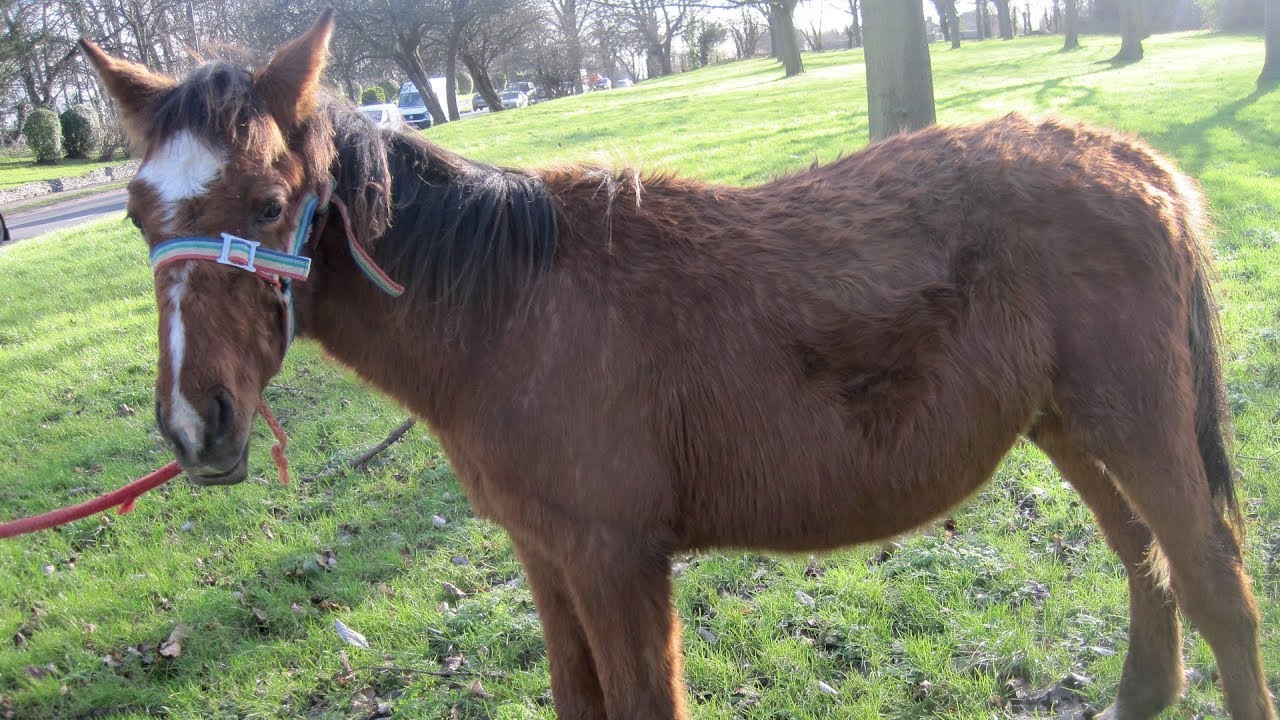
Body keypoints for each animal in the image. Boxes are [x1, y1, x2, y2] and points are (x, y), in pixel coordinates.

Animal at [80, 13, 1274, 720]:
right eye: (138, 214)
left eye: (267, 203)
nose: (199, 425)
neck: (510, 311)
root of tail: (1135, 162)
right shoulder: (548, 558)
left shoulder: (617, 563)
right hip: (1066, 422)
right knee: (1144, 559)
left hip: (1136, 424)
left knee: (1215, 582)